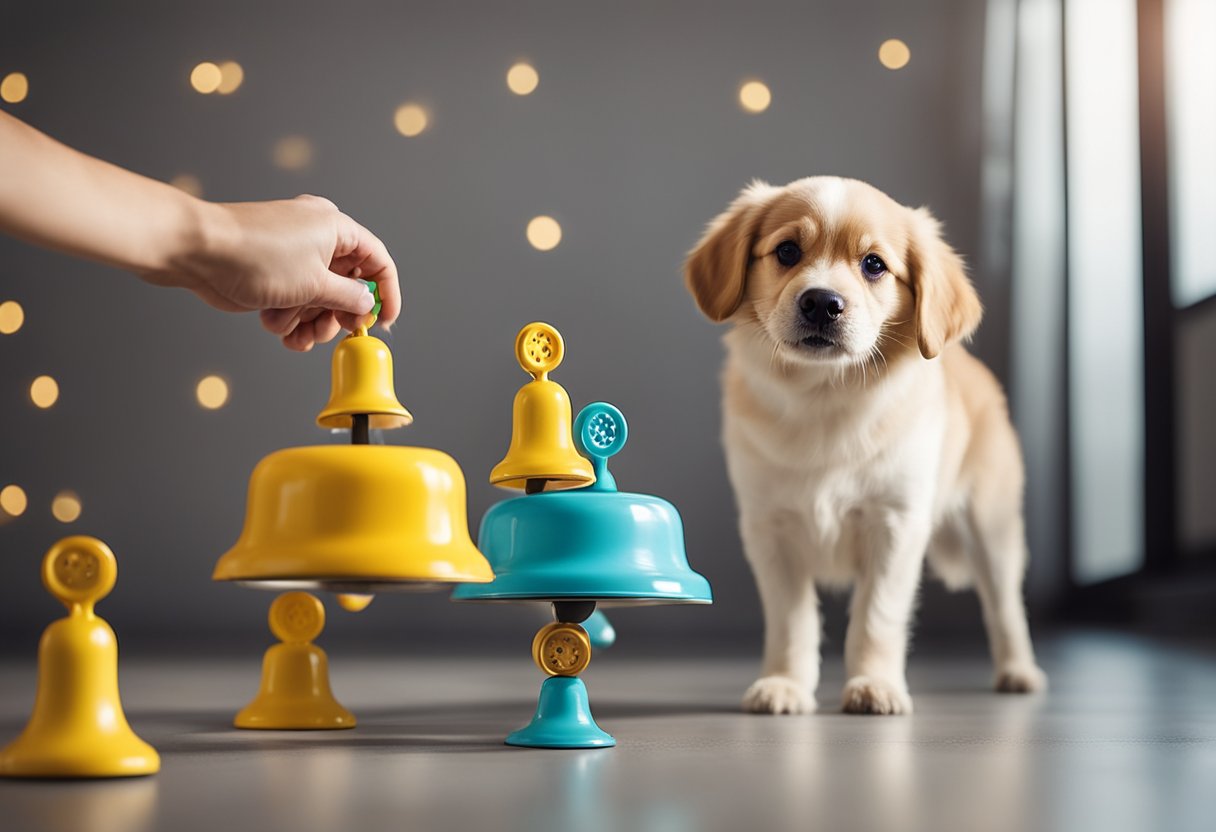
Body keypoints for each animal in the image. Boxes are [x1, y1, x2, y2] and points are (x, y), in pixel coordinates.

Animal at [685, 175, 1045, 715]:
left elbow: (877, 617)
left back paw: (1019, 671)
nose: (821, 302)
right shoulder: (769, 528)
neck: (824, 397)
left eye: (874, 264)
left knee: (1005, 606)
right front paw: (785, 684)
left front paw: (874, 684)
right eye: (787, 251)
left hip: (993, 526)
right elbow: (792, 622)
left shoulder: (894, 524)